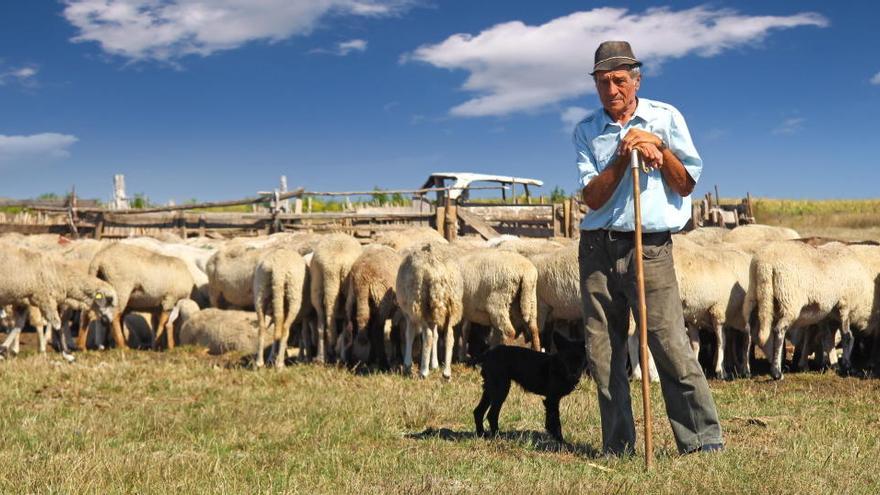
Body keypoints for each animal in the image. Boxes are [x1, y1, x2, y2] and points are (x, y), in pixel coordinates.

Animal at [396, 242, 464, 378]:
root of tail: (436, 273)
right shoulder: (433, 316)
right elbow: (436, 335)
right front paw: (434, 364)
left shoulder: (409, 314)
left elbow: (409, 334)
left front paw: (407, 364)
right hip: (452, 305)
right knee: (449, 336)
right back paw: (446, 372)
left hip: (420, 305)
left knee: (427, 336)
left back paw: (423, 372)